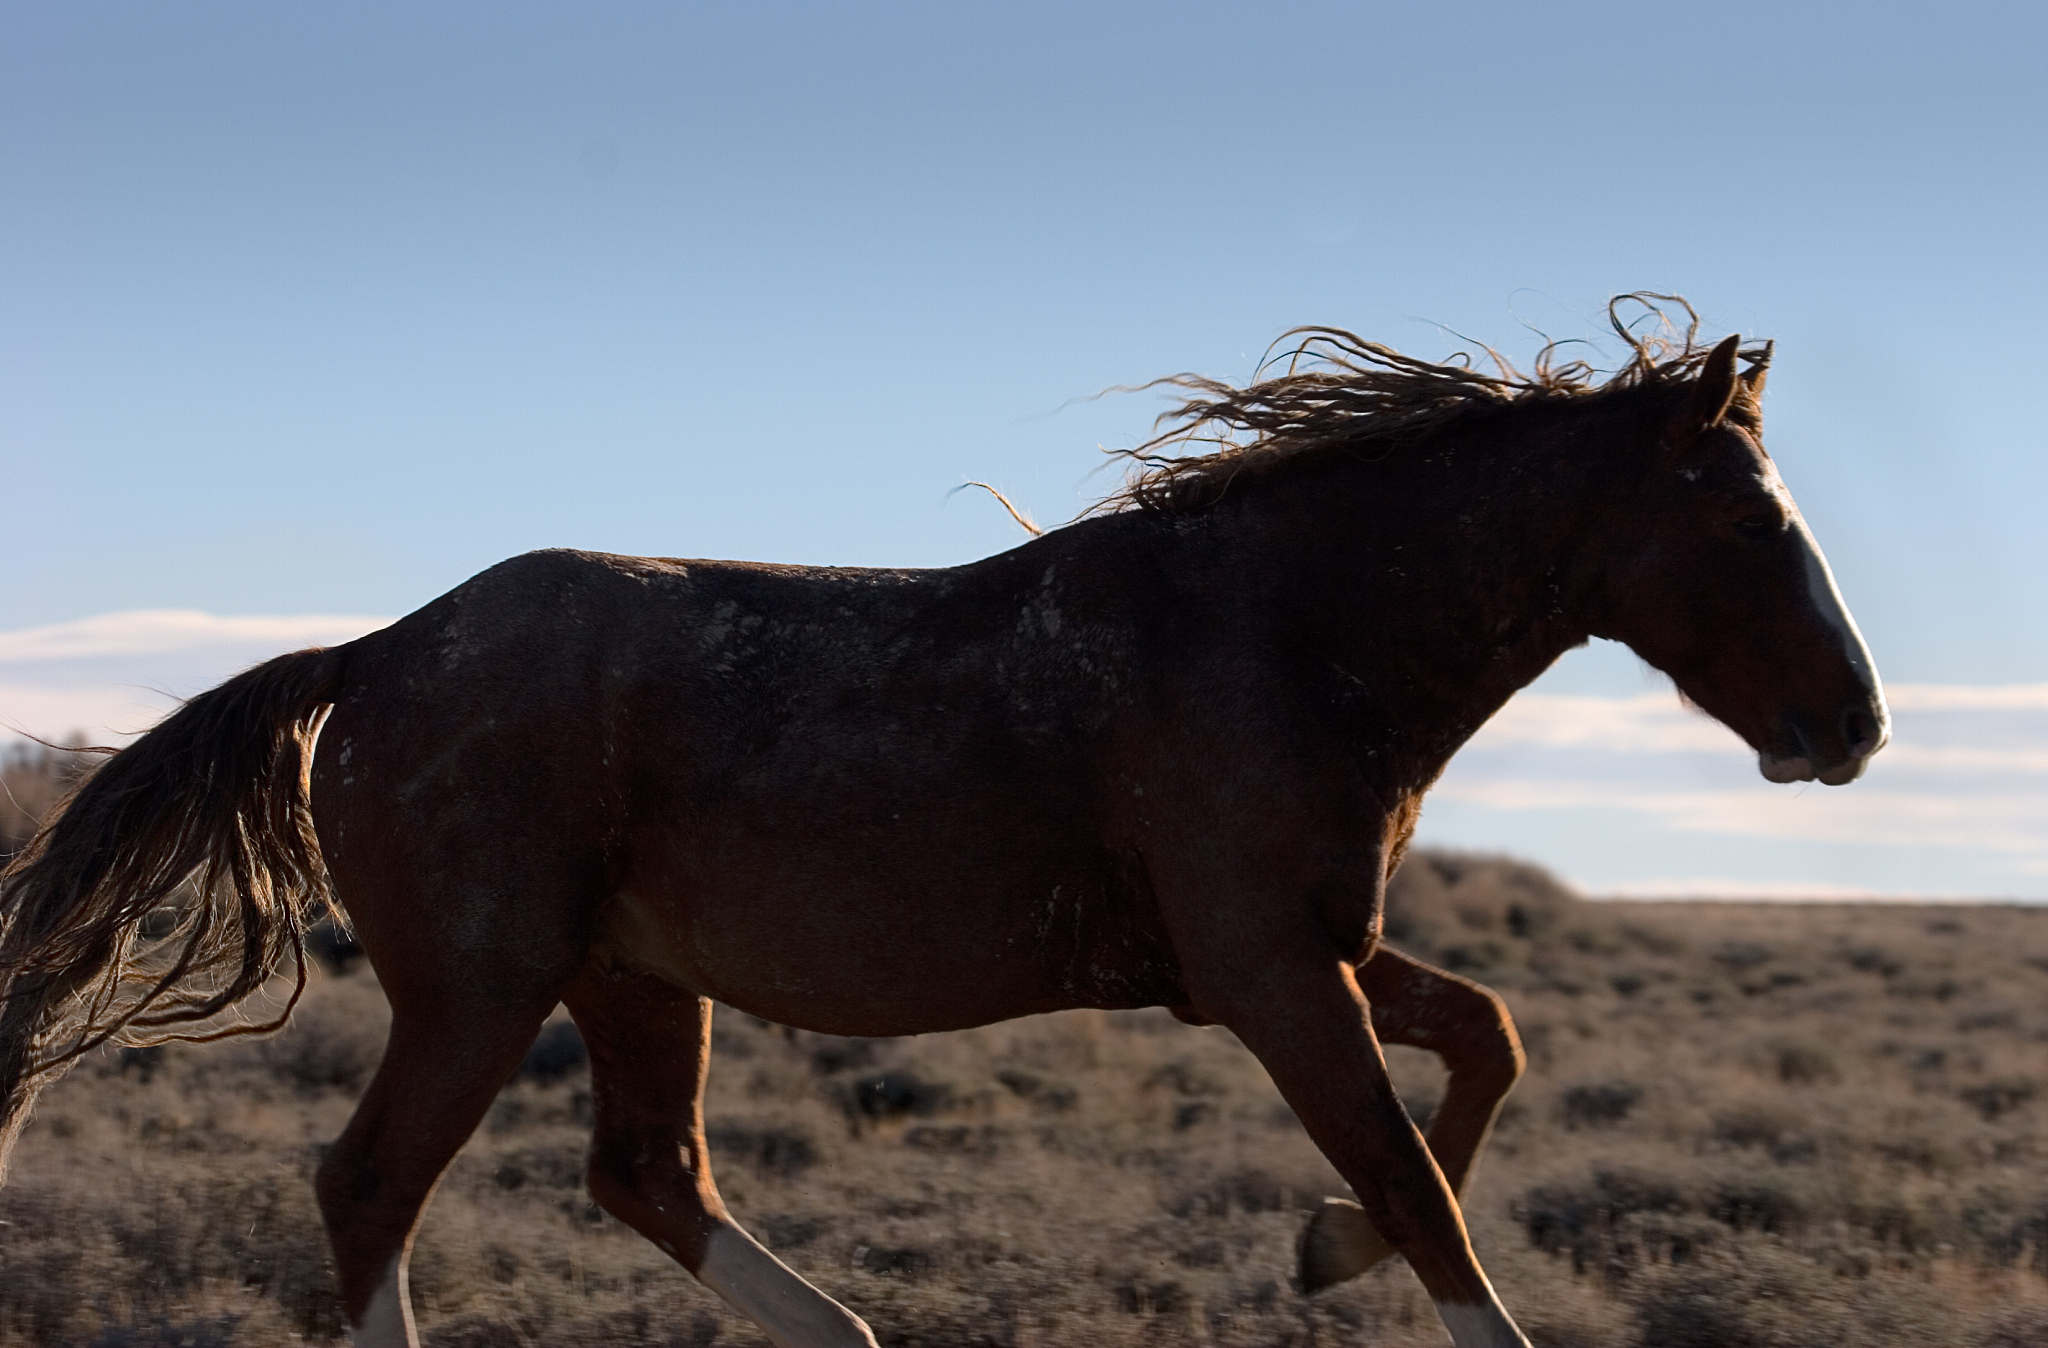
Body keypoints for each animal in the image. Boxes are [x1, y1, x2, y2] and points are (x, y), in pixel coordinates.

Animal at [0, 305, 1884, 1343]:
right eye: (1742, 520)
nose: (1855, 726)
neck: (1278, 632)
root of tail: (375, 653)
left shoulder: (1304, 951)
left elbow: (1487, 1041)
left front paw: (1317, 1249)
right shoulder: (1273, 979)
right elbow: (1422, 1191)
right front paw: (1348, 1241)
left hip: (629, 979)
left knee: (646, 1174)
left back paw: (848, 1330)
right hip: (481, 986)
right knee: (374, 1186)